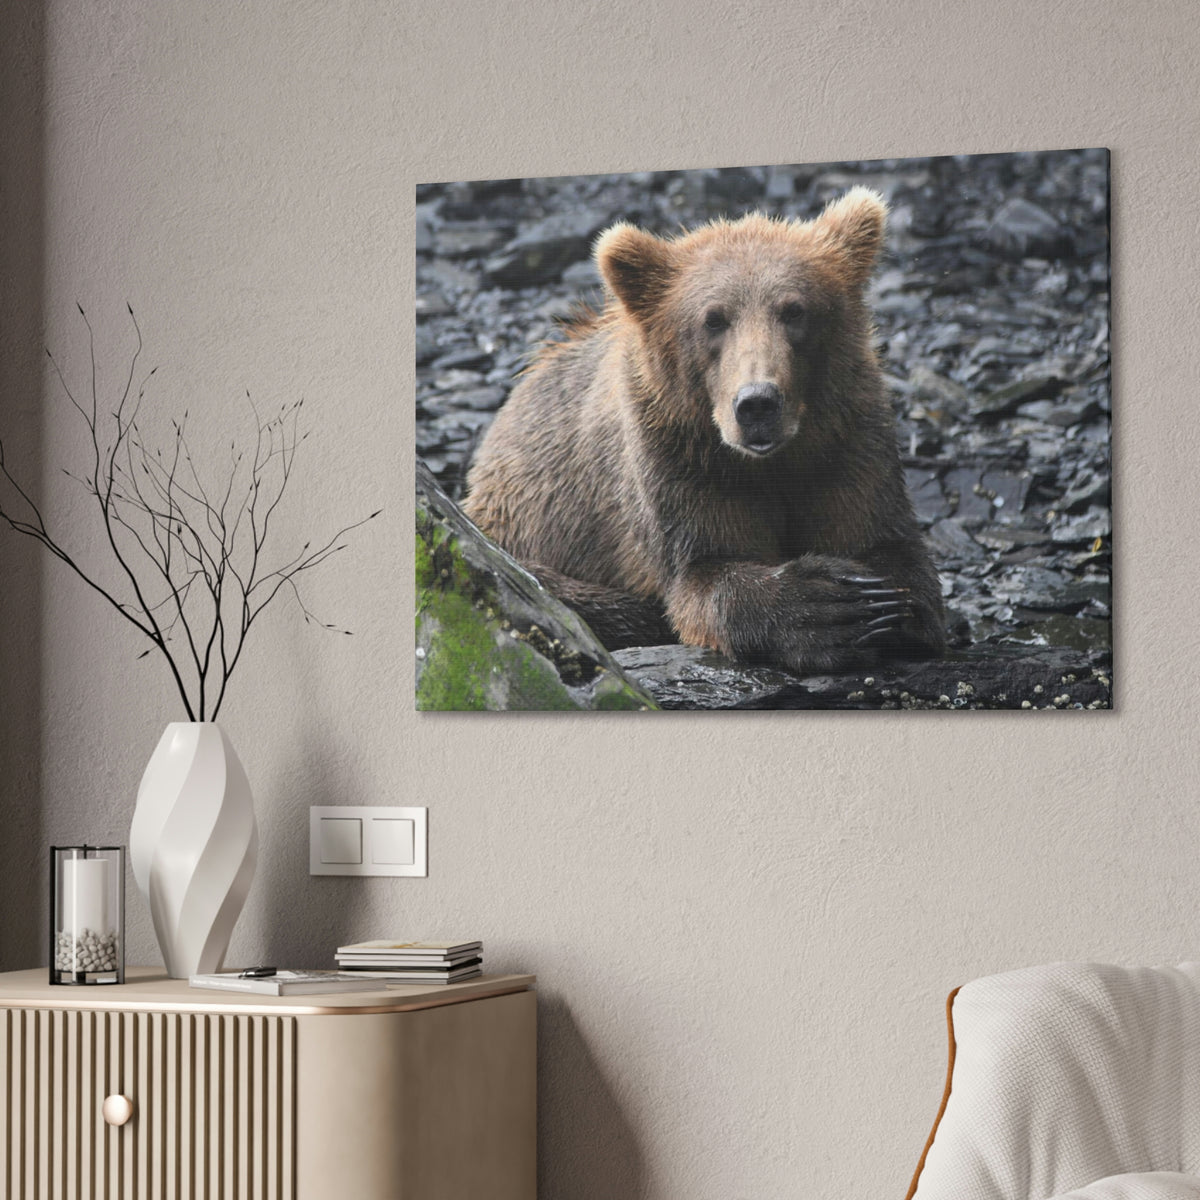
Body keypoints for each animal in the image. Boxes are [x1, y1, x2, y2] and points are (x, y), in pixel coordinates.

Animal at [463, 187, 945, 675]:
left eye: (795, 311)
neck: (771, 462)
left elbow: (885, 542)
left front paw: (883, 604)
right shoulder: (680, 461)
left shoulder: (847, 441)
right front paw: (827, 607)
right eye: (714, 319)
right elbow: (705, 572)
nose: (757, 403)